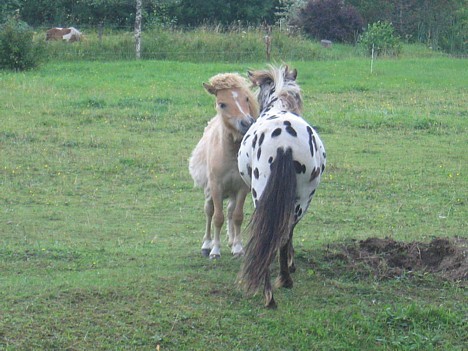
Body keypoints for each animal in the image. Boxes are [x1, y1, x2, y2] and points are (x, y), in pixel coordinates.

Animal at [188, 73, 258, 260]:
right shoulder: (216, 187)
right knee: (209, 211)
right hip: (209, 192)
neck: (231, 154)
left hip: (232, 193)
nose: (247, 122)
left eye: (246, 98)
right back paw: (207, 244)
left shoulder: (241, 188)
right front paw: (215, 250)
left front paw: (238, 247)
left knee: (230, 212)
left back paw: (232, 242)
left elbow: (238, 216)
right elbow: (217, 218)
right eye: (222, 103)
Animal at [238, 65, 326, 308]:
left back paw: (271, 292)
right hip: (301, 198)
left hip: (264, 195)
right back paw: (282, 282)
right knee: (283, 232)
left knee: (271, 233)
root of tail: (285, 143)